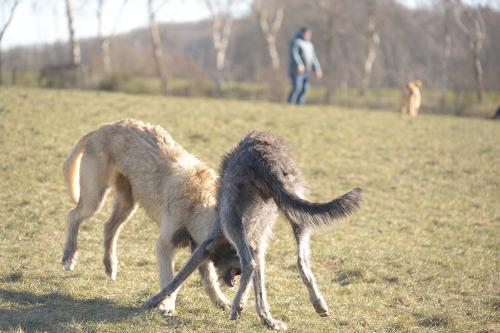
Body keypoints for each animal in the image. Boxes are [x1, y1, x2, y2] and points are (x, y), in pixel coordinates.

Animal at [60, 118, 236, 314]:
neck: (198, 199)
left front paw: (221, 301)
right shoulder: (165, 244)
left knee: (109, 228)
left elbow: (208, 278)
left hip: (127, 202)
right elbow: (169, 279)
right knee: (73, 216)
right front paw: (166, 305)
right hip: (94, 197)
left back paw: (110, 265)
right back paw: (69, 257)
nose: (240, 274)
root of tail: (101, 129)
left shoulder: (199, 247)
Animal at [143, 130, 362, 330]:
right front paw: (268, 319)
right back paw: (318, 303)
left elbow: (178, 277)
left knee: (249, 263)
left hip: (231, 215)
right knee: (300, 260)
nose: (236, 275)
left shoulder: (210, 241)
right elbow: (259, 286)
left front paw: (153, 301)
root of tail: (264, 157)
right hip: (294, 209)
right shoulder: (255, 241)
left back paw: (236, 306)